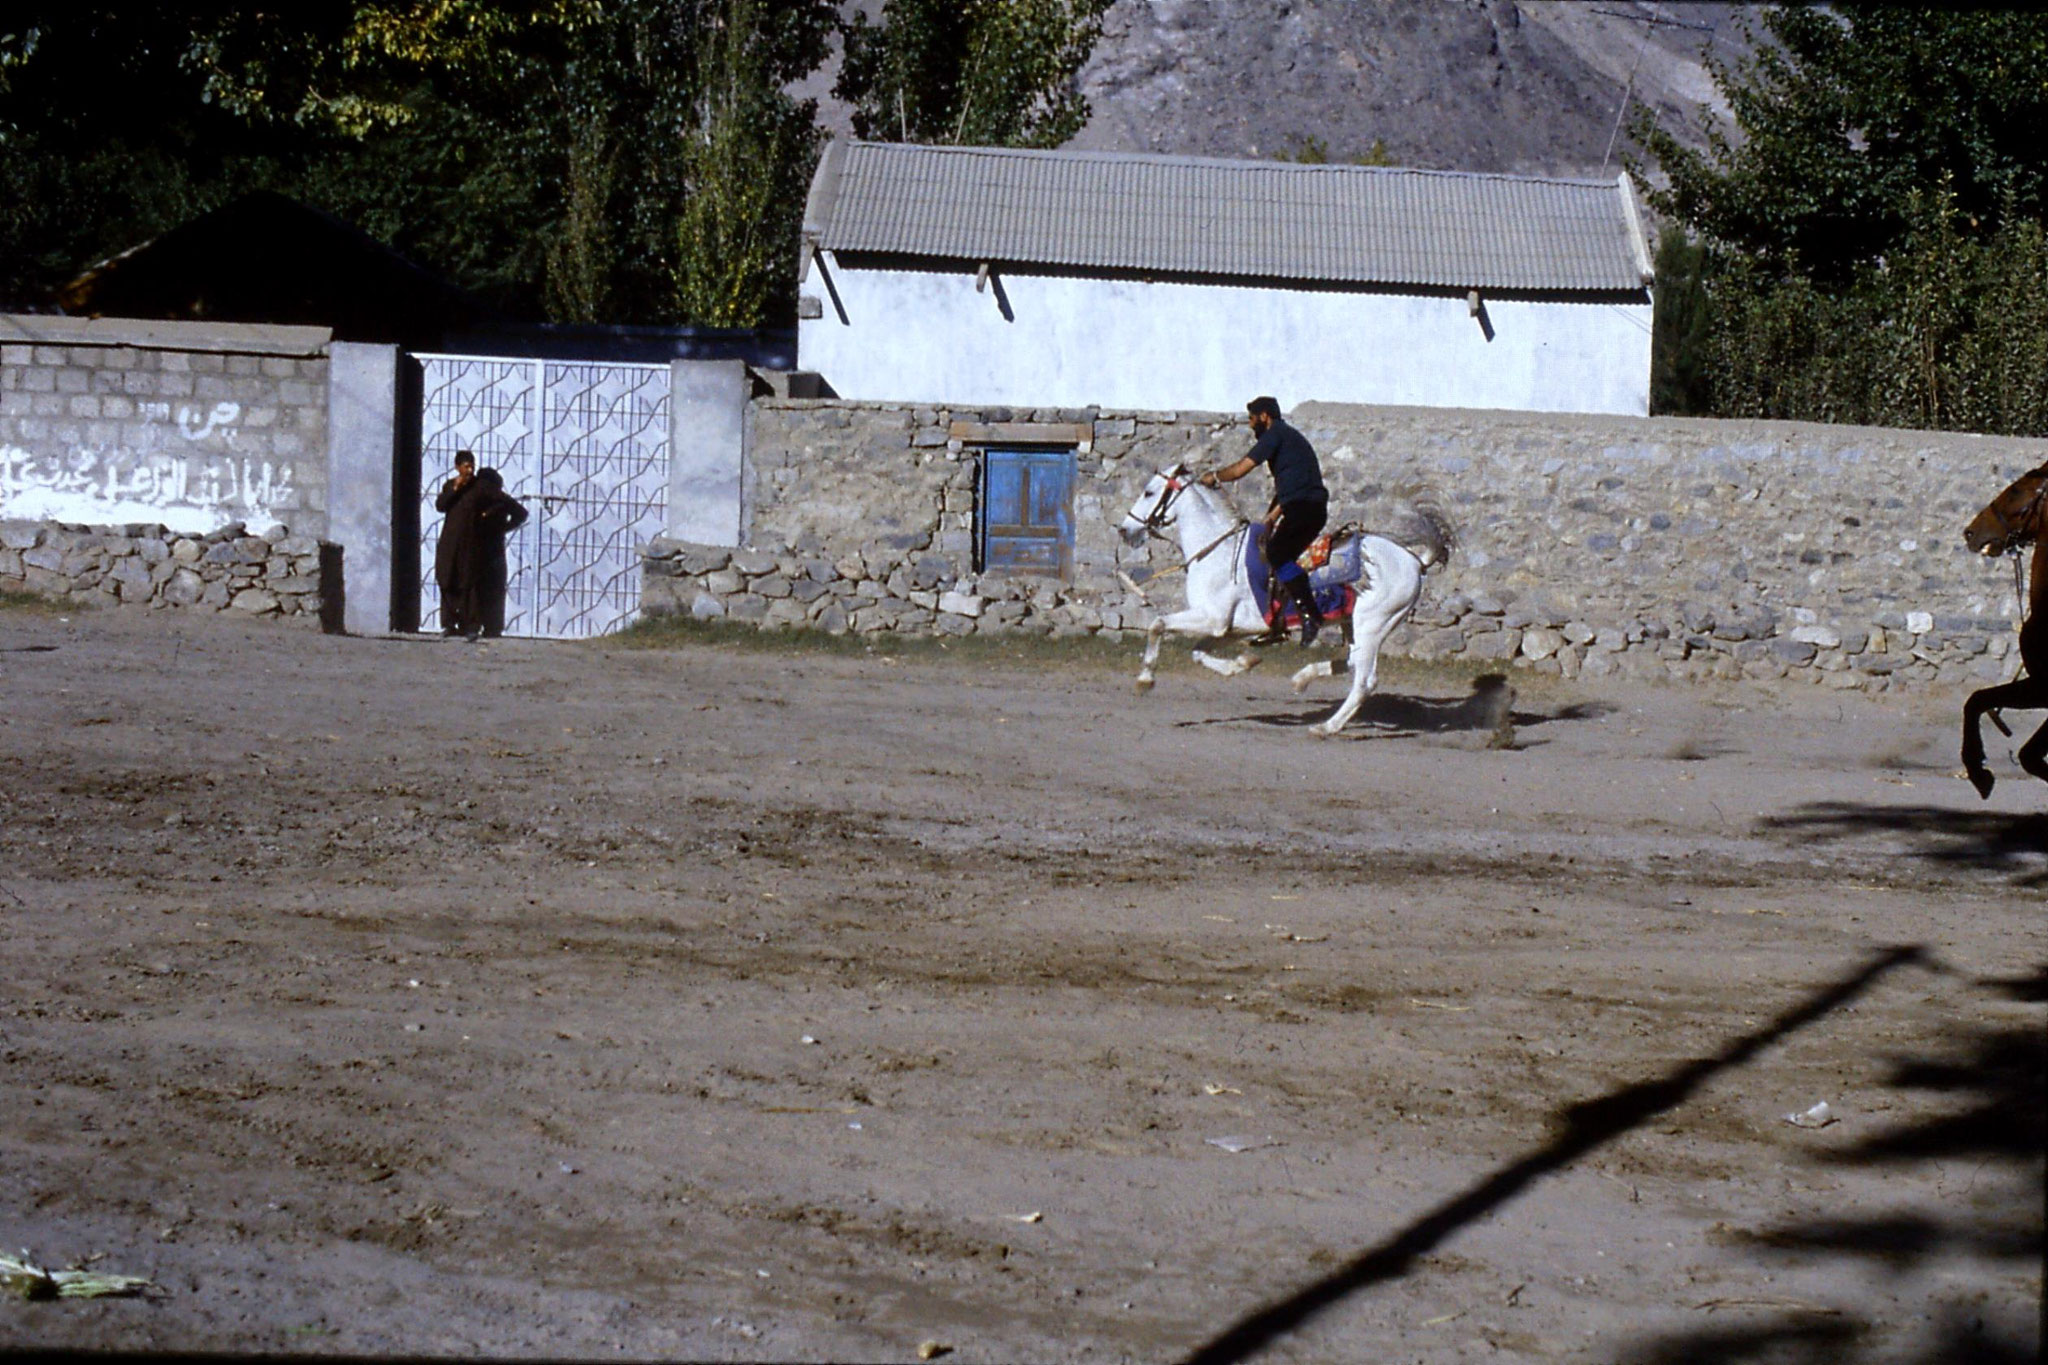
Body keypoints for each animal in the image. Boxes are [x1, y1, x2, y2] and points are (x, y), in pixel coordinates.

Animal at [1122, 464, 1458, 736]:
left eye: (1149, 491)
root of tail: (1414, 560)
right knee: (1351, 662)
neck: (1218, 550)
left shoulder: (1211, 618)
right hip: (1353, 623)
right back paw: (1302, 679)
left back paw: (1326, 727)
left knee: (1365, 681)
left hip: (1373, 624)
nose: (1125, 529)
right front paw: (1244, 663)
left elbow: (1157, 624)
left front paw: (1145, 679)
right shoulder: (1228, 628)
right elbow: (1197, 653)